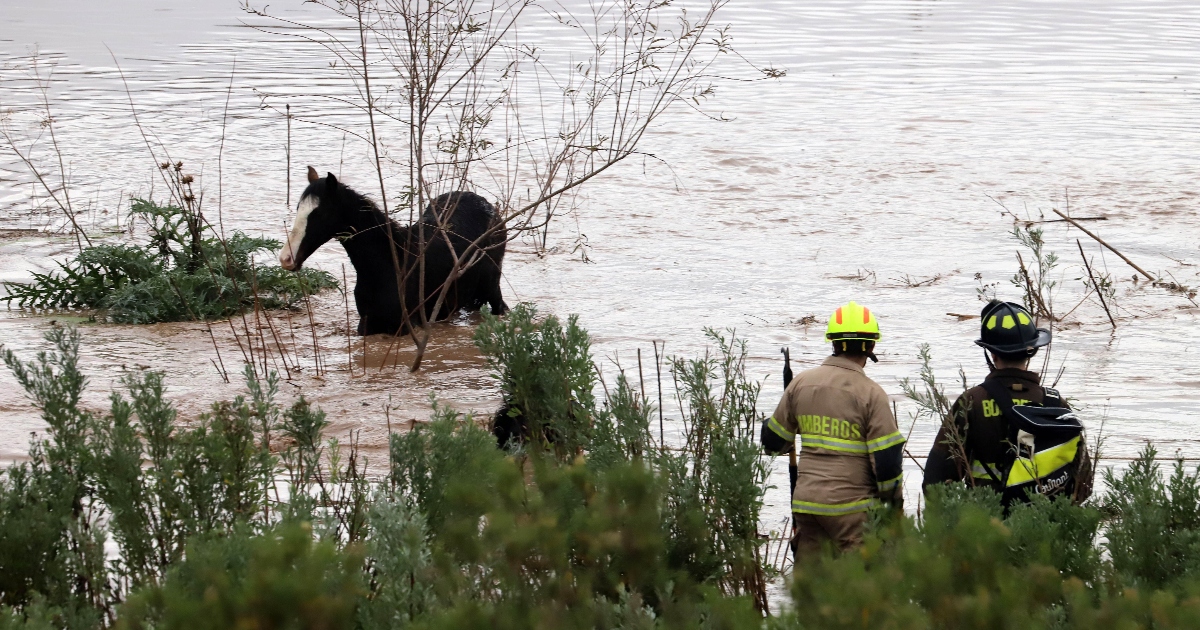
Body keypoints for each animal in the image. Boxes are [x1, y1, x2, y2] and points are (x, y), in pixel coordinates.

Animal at [279, 167, 509, 335]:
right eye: (298, 208)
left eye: (320, 214)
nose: (286, 258)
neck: (388, 263)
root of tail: (489, 207)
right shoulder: (367, 326)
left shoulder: (405, 327)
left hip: (492, 287)